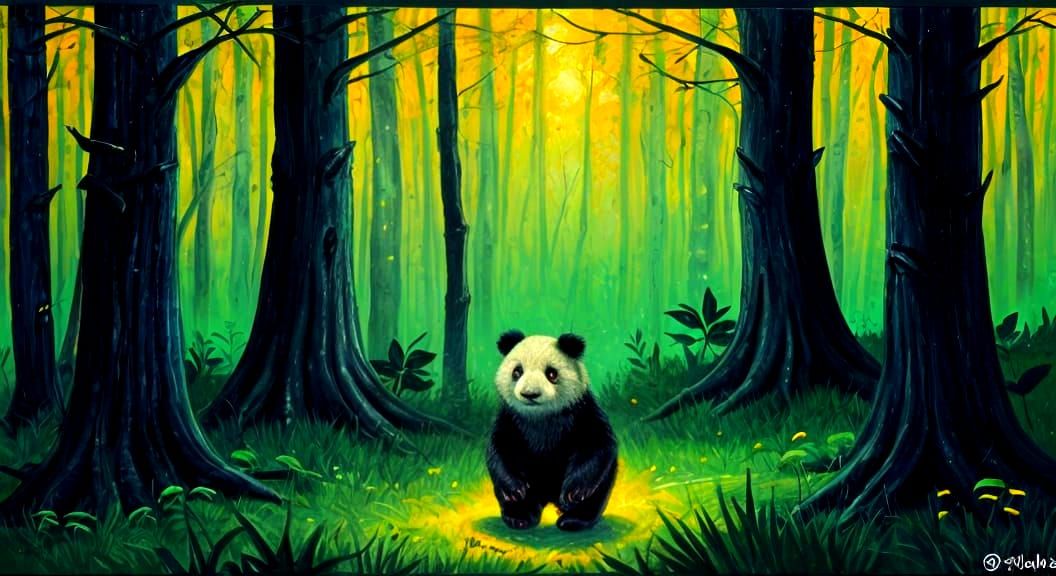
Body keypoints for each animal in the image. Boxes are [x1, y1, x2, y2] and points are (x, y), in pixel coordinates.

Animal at [486, 330, 618, 532]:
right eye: (517, 372)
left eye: (551, 373)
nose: (530, 394)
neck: (541, 416)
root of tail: (548, 497)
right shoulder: (510, 417)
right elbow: (500, 449)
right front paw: (515, 490)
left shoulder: (582, 410)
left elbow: (597, 446)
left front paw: (574, 492)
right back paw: (520, 517)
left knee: (597, 493)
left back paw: (573, 519)